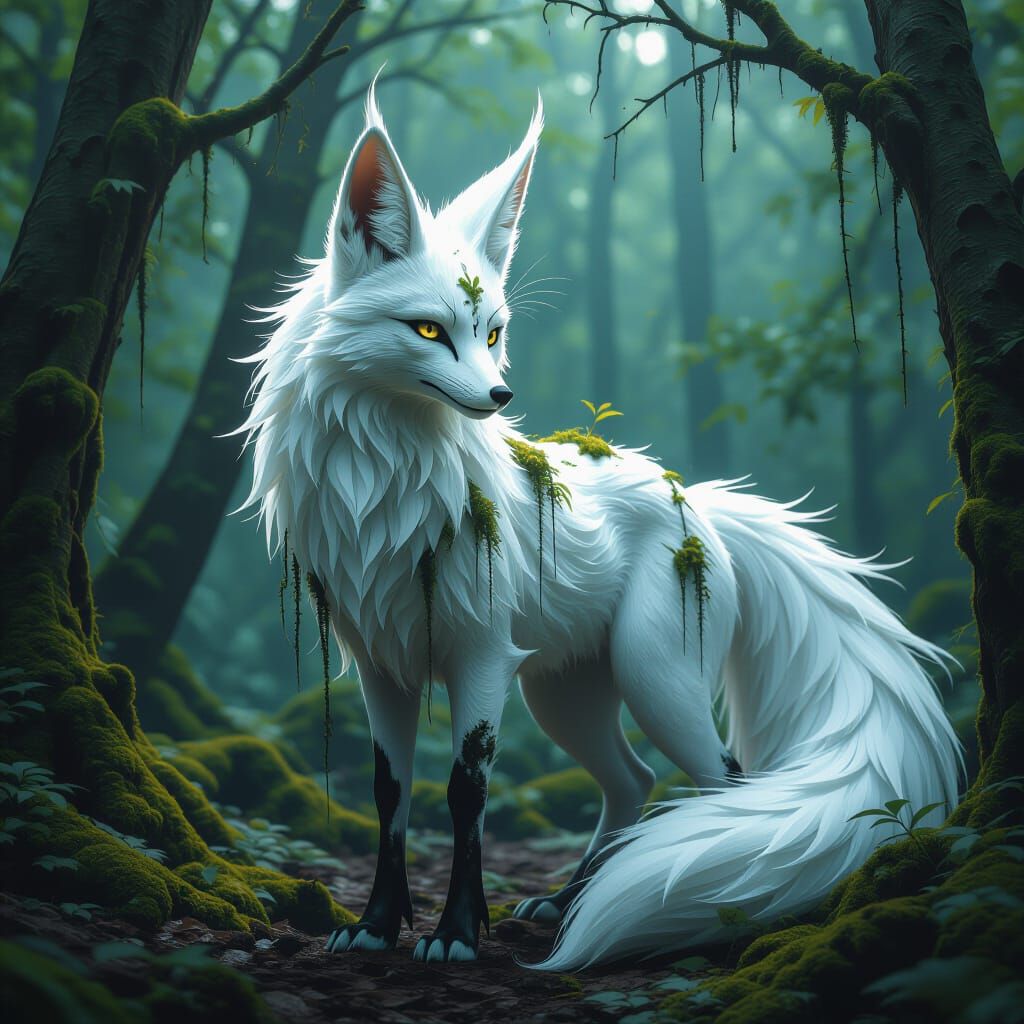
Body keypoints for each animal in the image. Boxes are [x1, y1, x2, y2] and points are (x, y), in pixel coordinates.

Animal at [236, 84, 961, 968]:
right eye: (430, 330)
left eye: (493, 332)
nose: (501, 396)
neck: (382, 492)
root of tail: (698, 502)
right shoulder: (381, 663)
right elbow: (390, 795)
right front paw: (375, 927)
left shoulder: (480, 655)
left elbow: (465, 794)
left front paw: (455, 935)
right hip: (564, 695)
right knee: (632, 781)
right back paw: (567, 902)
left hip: (654, 676)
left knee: (720, 780)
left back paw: (711, 916)